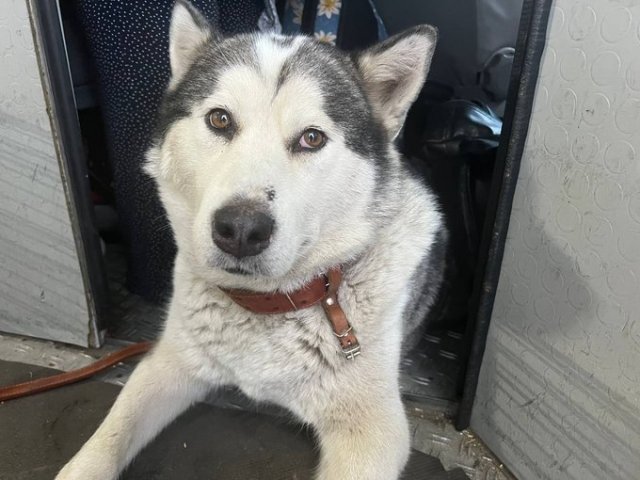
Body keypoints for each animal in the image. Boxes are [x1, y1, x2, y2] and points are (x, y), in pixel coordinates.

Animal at [57, 1, 445, 479]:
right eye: (220, 119)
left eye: (311, 137)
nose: (241, 230)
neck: (271, 305)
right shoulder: (167, 363)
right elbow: (108, 436)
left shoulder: (375, 431)